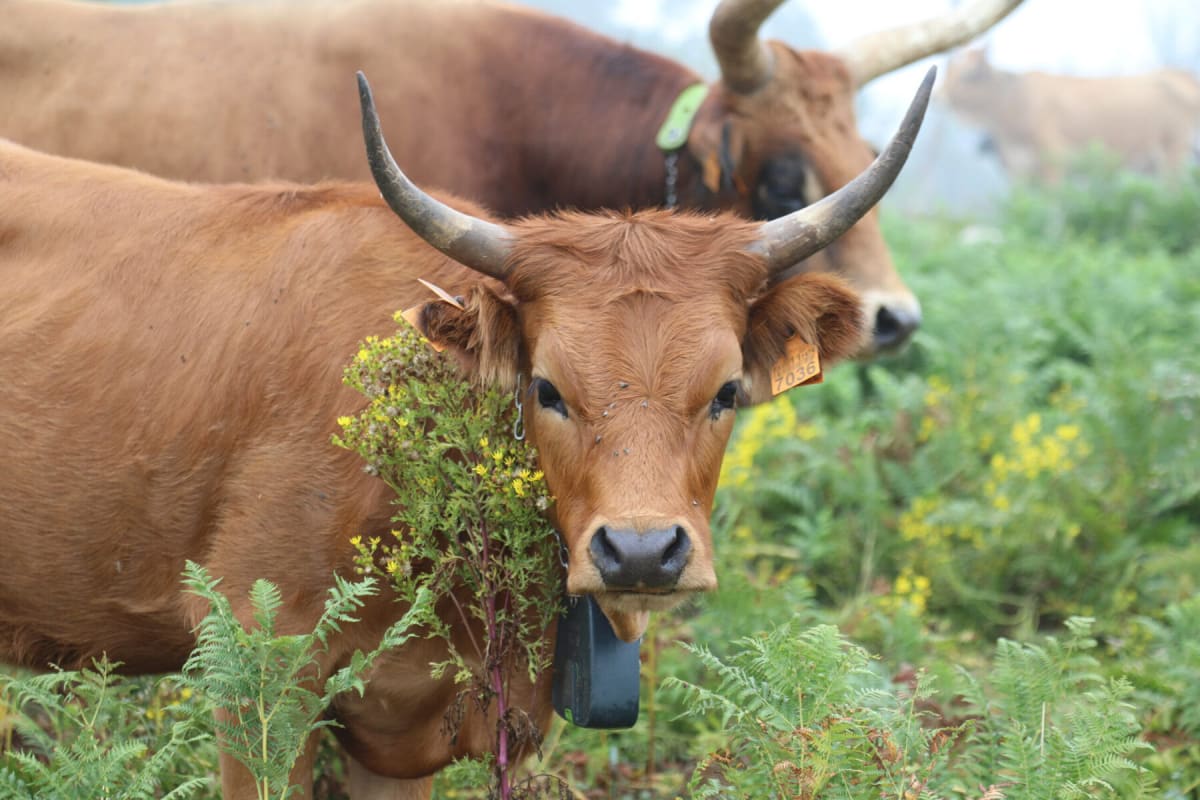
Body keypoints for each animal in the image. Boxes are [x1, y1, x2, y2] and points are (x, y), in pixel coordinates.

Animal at [941, 46, 1200, 183]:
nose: (939, 95)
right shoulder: (1022, 170)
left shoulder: (1054, 159)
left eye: (968, 75)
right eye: (949, 72)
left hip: (1172, 154)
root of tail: (1184, 76)